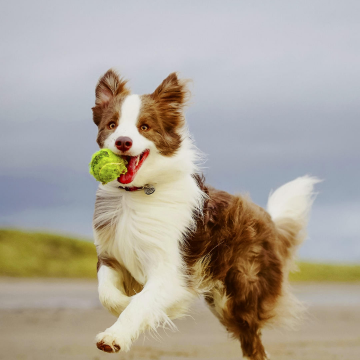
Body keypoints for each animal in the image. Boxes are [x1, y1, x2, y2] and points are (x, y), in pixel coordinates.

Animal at [91, 69, 320, 358]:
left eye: (144, 126)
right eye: (112, 124)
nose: (123, 142)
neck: (137, 193)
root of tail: (268, 219)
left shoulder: (171, 269)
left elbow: (141, 303)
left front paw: (114, 337)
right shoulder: (111, 254)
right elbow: (108, 294)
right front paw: (126, 302)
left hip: (235, 296)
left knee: (253, 341)